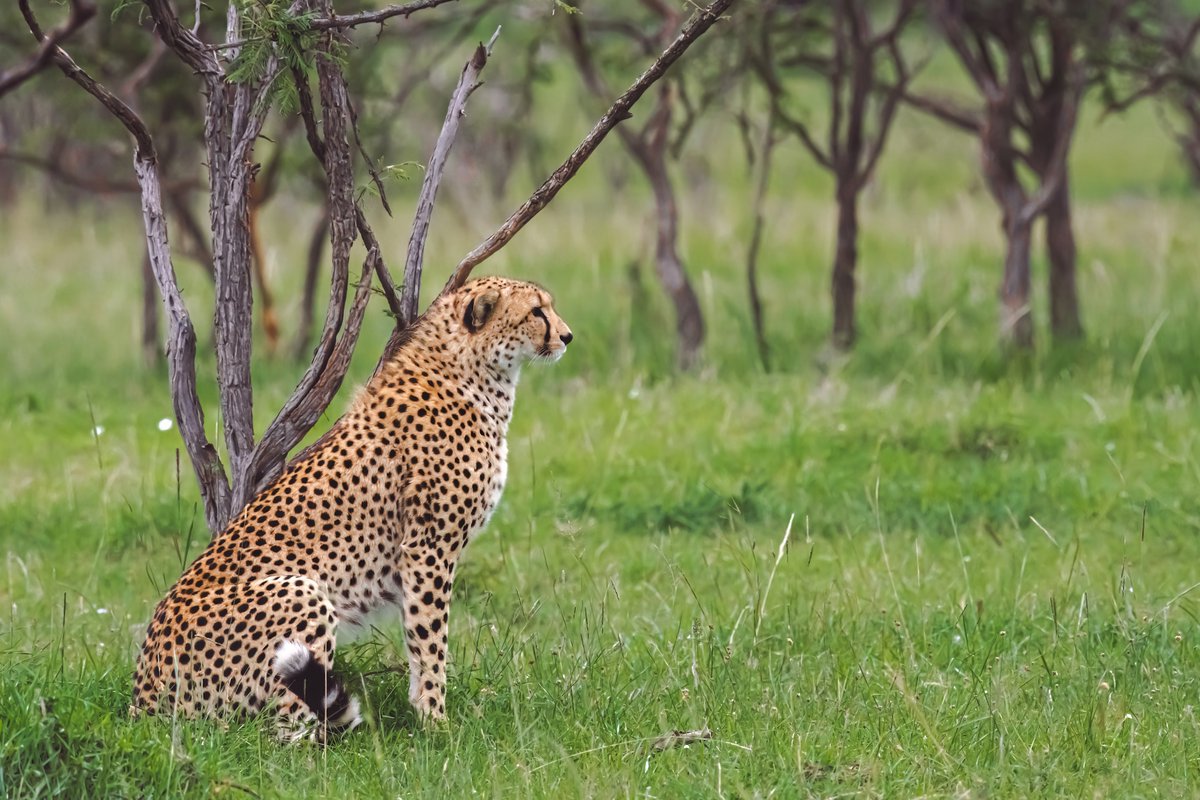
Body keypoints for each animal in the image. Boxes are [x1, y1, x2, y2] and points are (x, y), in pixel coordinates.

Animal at [133, 278, 573, 743]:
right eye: (536, 312)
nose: (567, 336)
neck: (472, 371)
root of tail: (143, 700)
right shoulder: (428, 548)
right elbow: (430, 639)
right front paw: (437, 723)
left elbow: (419, 638)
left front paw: (427, 714)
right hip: (301, 592)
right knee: (287, 733)